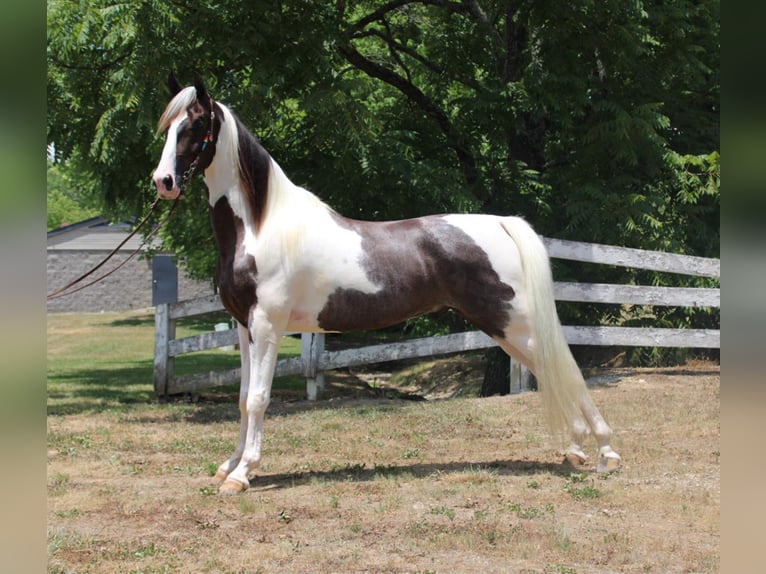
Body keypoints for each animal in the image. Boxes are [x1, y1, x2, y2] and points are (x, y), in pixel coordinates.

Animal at [152, 75, 624, 496]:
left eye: (194, 124)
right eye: (168, 126)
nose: (163, 182)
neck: (261, 225)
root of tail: (502, 223)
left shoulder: (268, 324)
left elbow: (258, 399)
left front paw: (242, 474)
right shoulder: (244, 327)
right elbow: (242, 396)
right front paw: (228, 466)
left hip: (514, 323)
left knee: (568, 369)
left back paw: (607, 453)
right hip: (506, 327)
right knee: (550, 371)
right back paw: (576, 450)